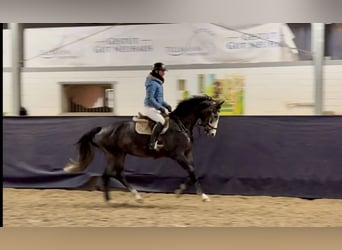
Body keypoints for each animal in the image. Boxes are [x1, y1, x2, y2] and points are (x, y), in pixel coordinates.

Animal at [64, 94, 224, 202]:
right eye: (214, 115)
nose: (212, 134)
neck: (181, 124)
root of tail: (102, 129)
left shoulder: (187, 153)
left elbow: (192, 171)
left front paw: (180, 191)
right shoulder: (178, 154)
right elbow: (191, 170)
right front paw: (203, 196)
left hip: (120, 154)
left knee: (117, 174)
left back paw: (135, 197)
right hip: (112, 154)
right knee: (109, 174)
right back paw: (110, 201)